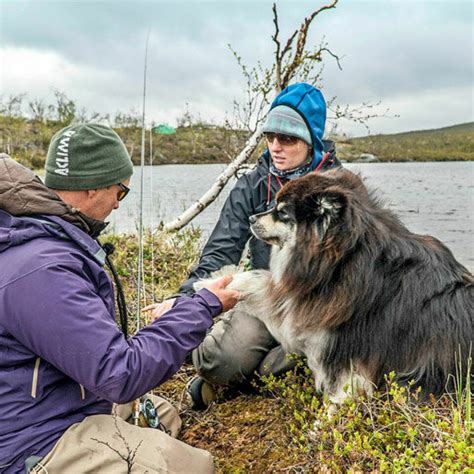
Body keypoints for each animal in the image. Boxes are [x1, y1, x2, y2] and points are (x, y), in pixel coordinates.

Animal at [195, 168, 470, 410]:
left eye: (282, 212)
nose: (251, 218)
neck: (346, 256)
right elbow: (259, 280)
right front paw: (215, 280)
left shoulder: (344, 341)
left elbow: (341, 391)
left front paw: (324, 426)